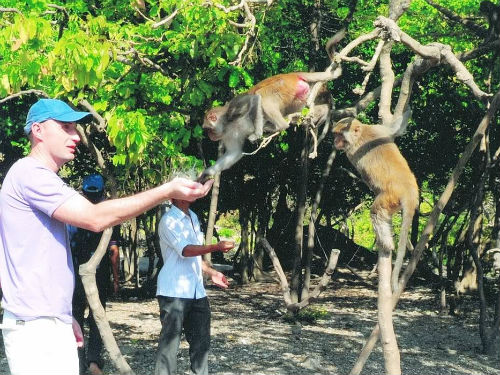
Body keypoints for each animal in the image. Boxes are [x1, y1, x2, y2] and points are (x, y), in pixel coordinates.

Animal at [334, 115, 420, 294]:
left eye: (339, 135)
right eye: (335, 134)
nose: (334, 141)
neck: (361, 134)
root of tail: (408, 190)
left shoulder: (351, 152)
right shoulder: (378, 129)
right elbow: (396, 127)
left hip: (390, 197)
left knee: (376, 212)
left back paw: (387, 243)